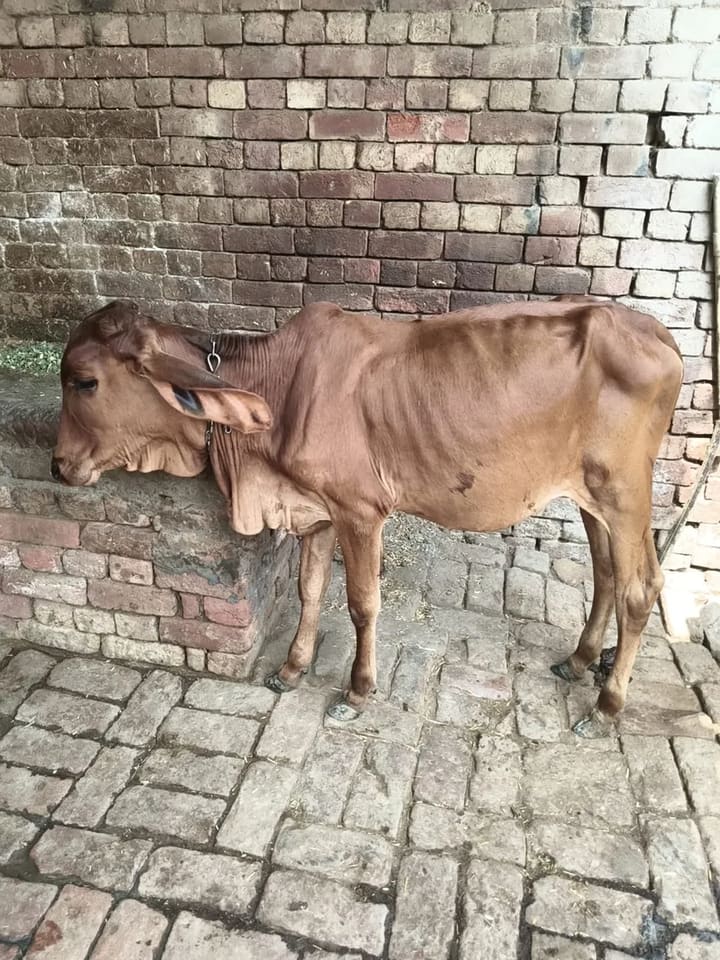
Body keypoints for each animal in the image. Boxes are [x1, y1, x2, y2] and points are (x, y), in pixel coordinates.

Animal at [52, 298, 683, 738]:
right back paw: (579, 661)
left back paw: (607, 705)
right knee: (606, 573)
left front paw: (357, 691)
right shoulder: (315, 510)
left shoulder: (359, 511)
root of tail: (658, 334)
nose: (58, 464)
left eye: (84, 381)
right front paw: (292, 669)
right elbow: (309, 590)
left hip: (625, 491)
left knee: (641, 587)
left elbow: (360, 603)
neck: (279, 387)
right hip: (590, 496)